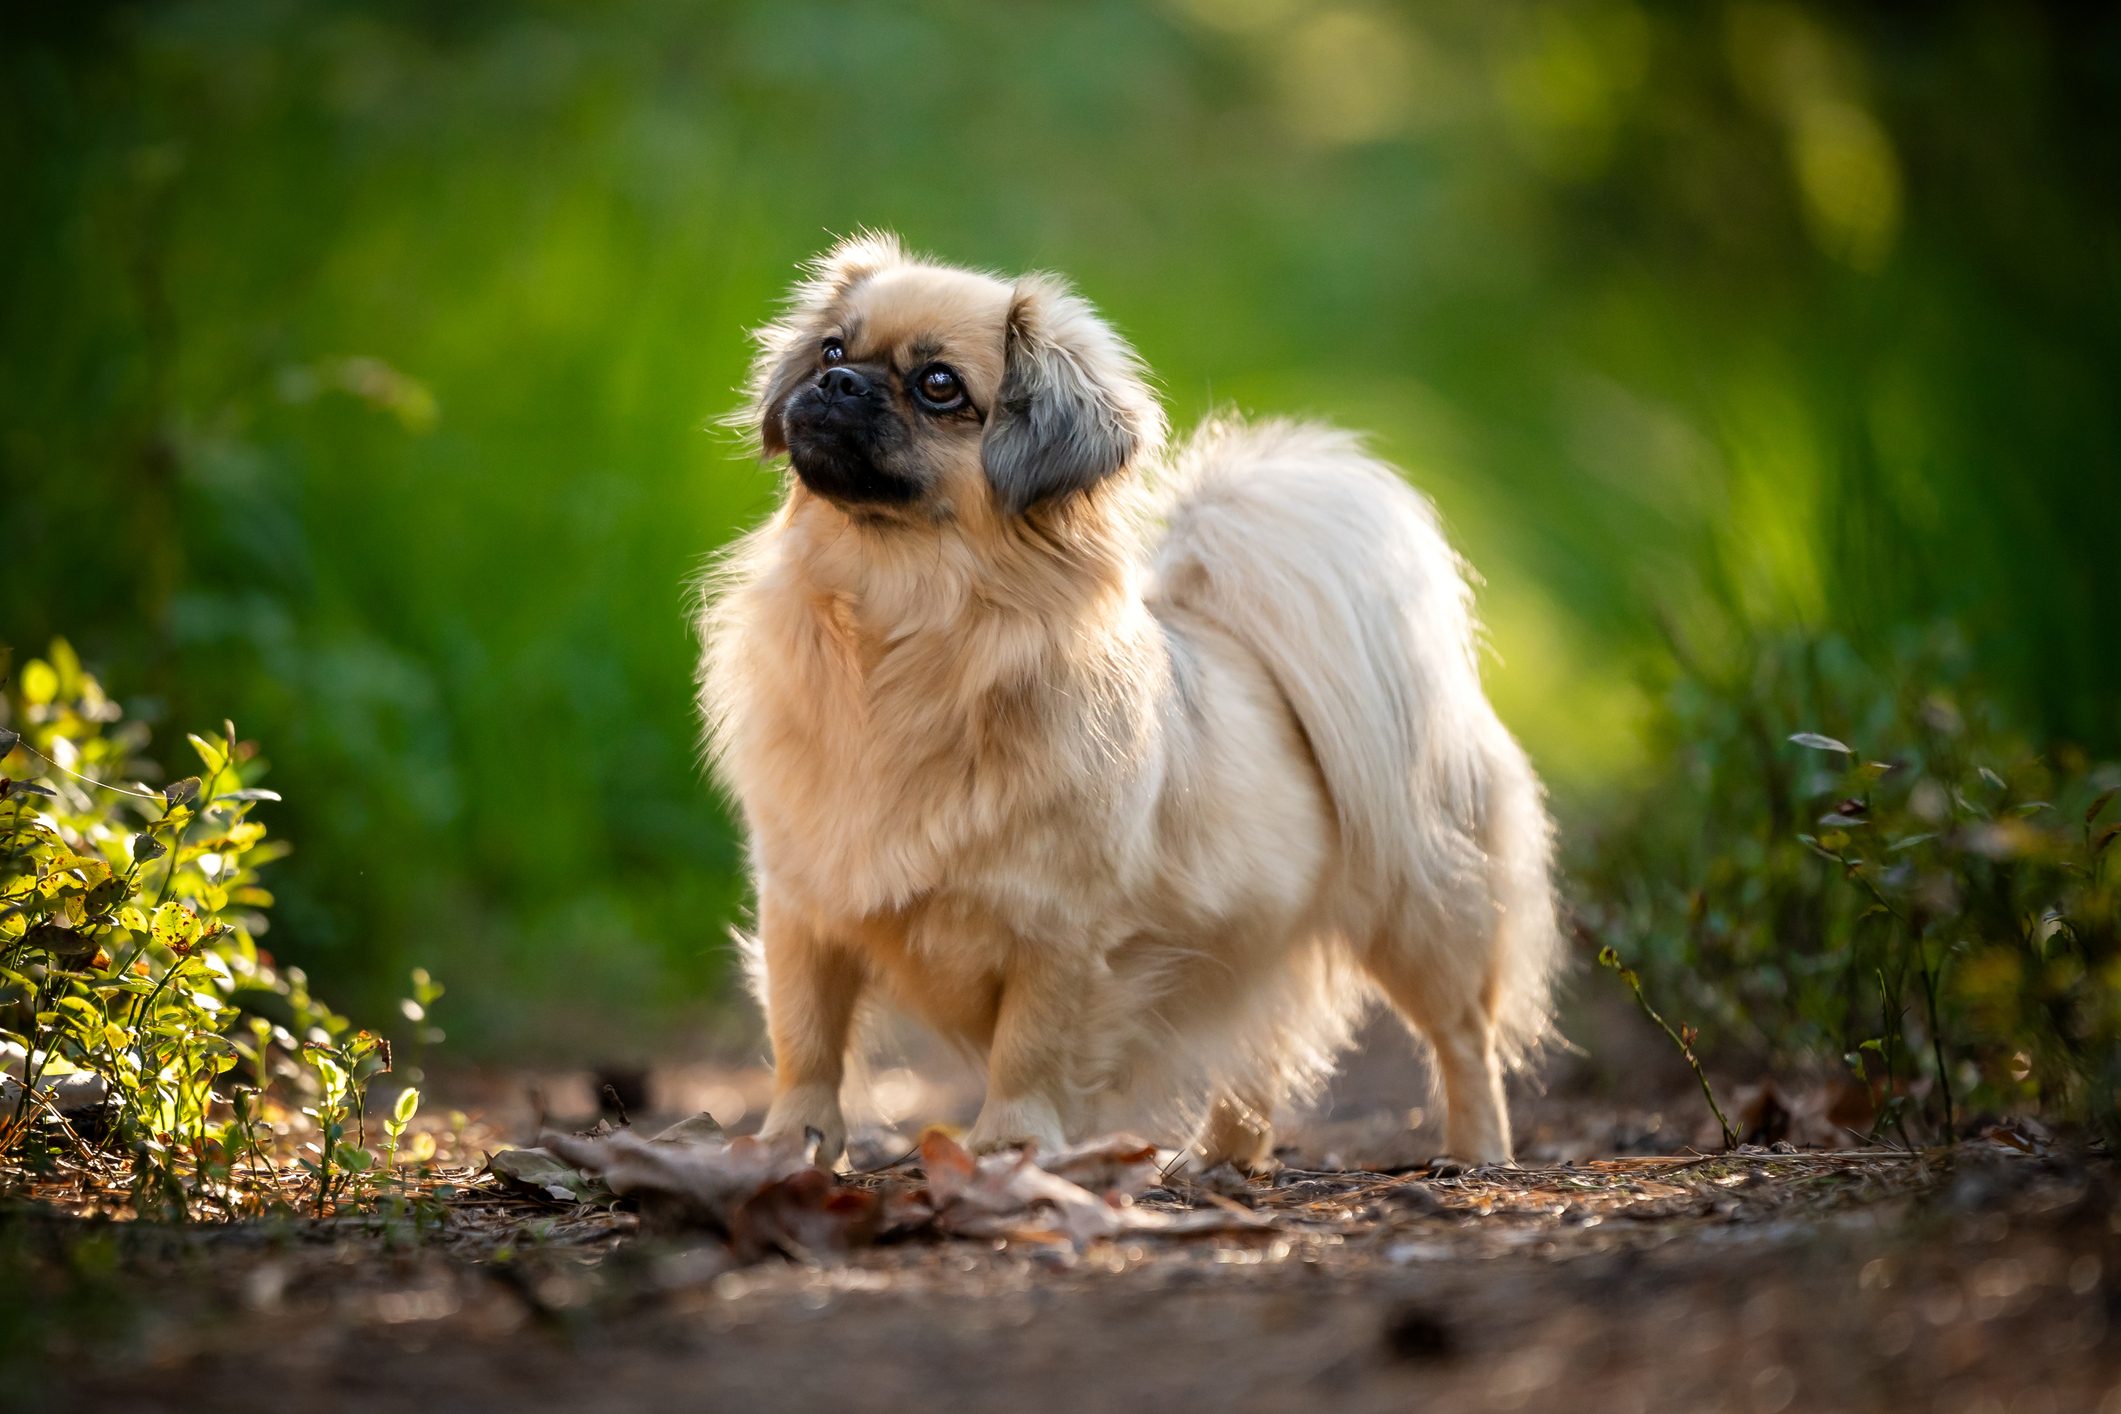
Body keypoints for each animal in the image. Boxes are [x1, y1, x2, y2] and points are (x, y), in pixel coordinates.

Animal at [695, 232, 1561, 1170]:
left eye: (938, 386)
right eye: (829, 351)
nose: (842, 383)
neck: (895, 635)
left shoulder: (1058, 932)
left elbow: (1027, 1048)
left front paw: (1008, 1147)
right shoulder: (803, 911)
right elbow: (807, 1041)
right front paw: (791, 1141)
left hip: (1419, 912)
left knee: (1462, 1037)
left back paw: (1476, 1152)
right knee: (1258, 1055)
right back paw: (1219, 1160)